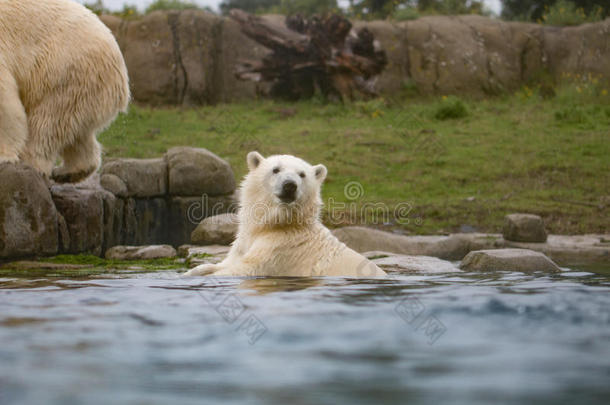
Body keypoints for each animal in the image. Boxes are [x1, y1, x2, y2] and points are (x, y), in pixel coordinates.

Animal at [0, 0, 128, 181]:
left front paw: (4, 155)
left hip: (65, 73)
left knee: (47, 123)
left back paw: (33, 165)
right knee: (77, 133)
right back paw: (68, 172)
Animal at [183, 152, 388, 278]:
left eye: (302, 174)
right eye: (276, 169)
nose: (290, 185)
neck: (275, 224)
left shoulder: (280, 251)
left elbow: (243, 269)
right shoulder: (243, 244)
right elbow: (224, 263)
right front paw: (190, 273)